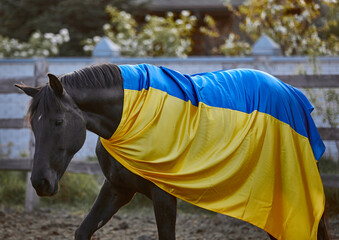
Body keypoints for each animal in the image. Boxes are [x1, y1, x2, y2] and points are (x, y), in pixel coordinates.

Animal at [15, 62, 330, 239]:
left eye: (58, 121)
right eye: (33, 125)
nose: (40, 183)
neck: (128, 117)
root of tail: (291, 92)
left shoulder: (164, 196)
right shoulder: (117, 188)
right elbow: (83, 230)